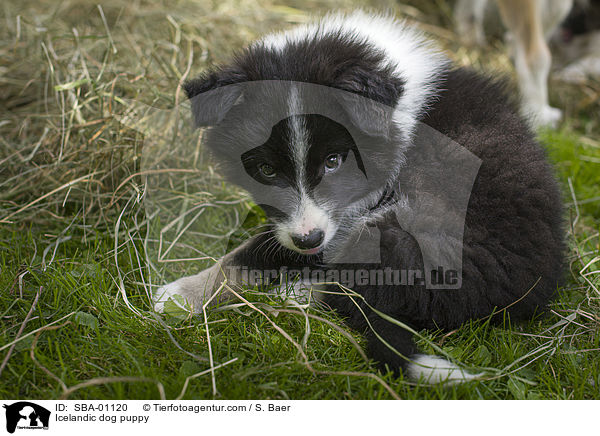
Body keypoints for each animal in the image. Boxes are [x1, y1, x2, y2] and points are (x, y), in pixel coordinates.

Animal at [152, 11, 564, 384]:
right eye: (266, 170)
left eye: (334, 161)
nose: (308, 239)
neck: (394, 112)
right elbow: (260, 246)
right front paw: (183, 295)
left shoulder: (353, 212)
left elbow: (258, 252)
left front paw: (180, 294)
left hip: (405, 232)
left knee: (354, 288)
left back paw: (294, 293)